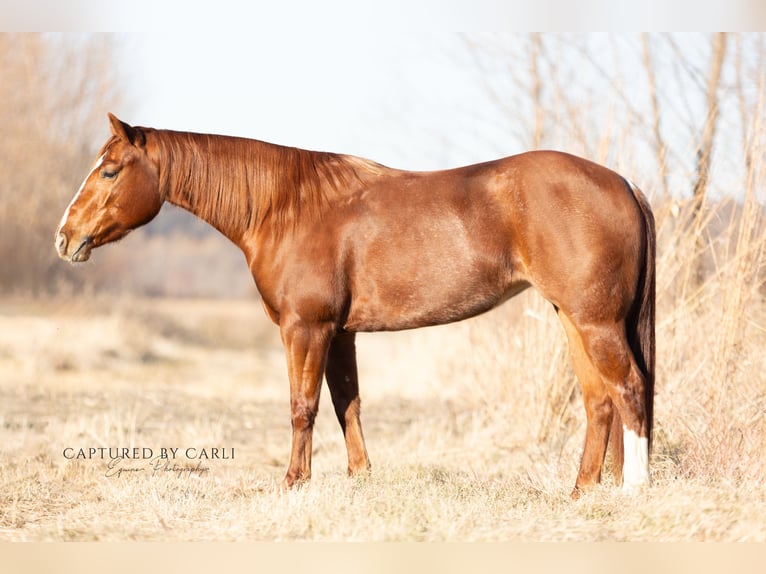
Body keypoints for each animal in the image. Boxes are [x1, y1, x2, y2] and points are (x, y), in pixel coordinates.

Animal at [55, 113, 656, 500]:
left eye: (110, 171)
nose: (65, 238)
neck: (287, 207)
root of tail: (624, 183)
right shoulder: (340, 333)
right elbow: (349, 403)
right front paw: (359, 479)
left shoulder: (307, 328)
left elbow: (303, 406)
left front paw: (293, 485)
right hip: (574, 320)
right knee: (599, 399)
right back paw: (581, 492)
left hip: (595, 322)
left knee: (628, 388)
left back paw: (635, 489)